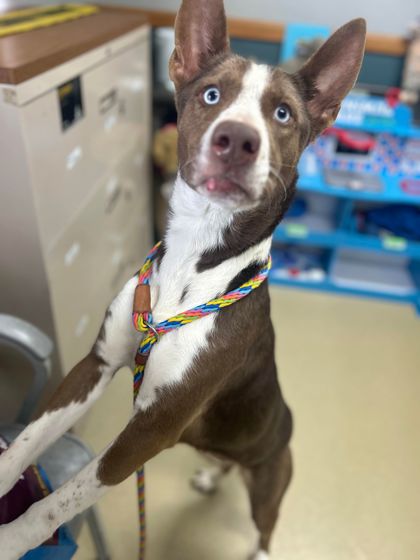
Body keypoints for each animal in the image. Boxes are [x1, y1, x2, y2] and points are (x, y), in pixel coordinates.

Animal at [0, 2, 364, 556]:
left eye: (282, 114)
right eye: (211, 95)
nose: (237, 140)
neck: (195, 258)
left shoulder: (153, 428)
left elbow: (58, 501)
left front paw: (11, 537)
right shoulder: (94, 365)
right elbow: (24, 441)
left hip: (269, 481)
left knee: (267, 525)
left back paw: (259, 544)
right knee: (223, 466)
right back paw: (212, 476)